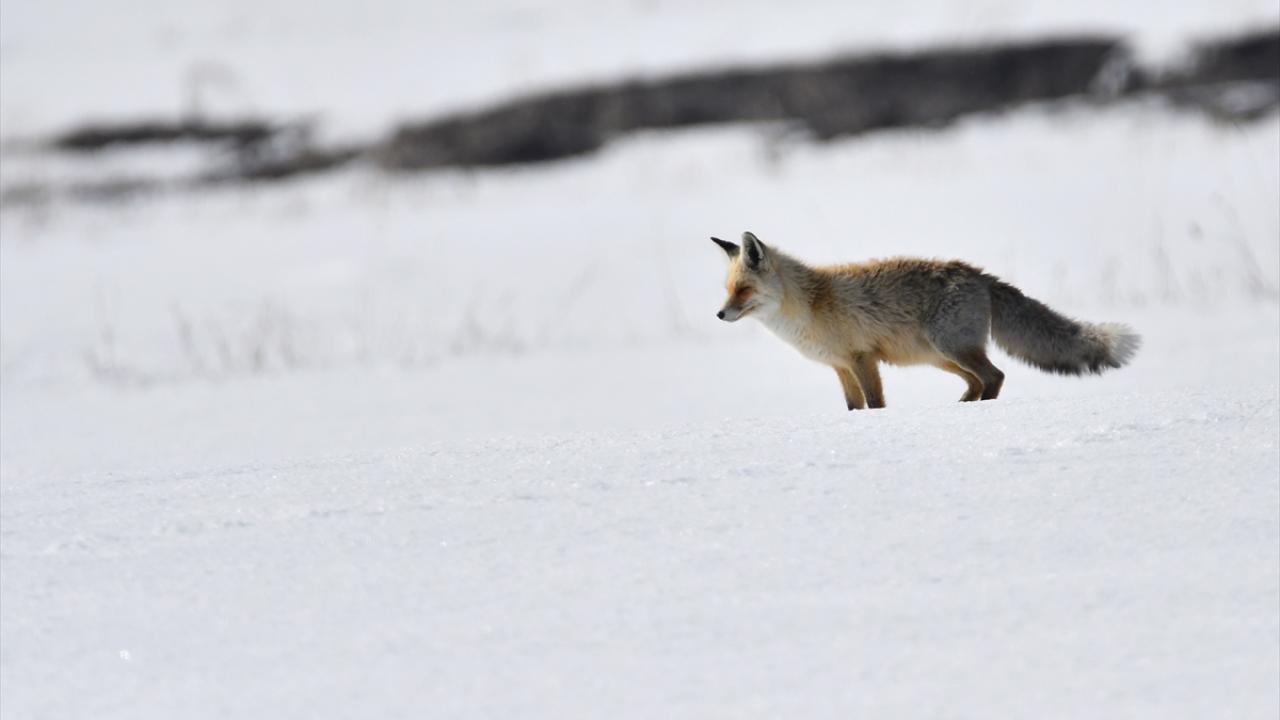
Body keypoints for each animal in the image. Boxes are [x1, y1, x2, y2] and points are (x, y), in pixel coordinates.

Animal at [712, 231, 1139, 409]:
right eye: (727, 289)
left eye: (743, 290)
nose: (719, 314)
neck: (811, 305)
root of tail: (978, 274)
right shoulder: (840, 367)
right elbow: (854, 408)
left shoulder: (862, 359)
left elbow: (876, 404)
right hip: (941, 357)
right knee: (979, 381)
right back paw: (962, 407)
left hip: (950, 348)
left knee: (996, 376)